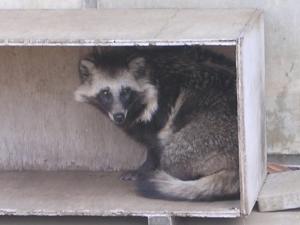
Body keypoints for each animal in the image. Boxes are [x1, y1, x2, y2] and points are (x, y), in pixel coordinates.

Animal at [74, 46, 239, 200]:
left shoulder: (164, 107)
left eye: (126, 91)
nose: (119, 116)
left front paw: (145, 167)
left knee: (173, 156)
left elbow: (155, 144)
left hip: (210, 133)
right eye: (105, 92)